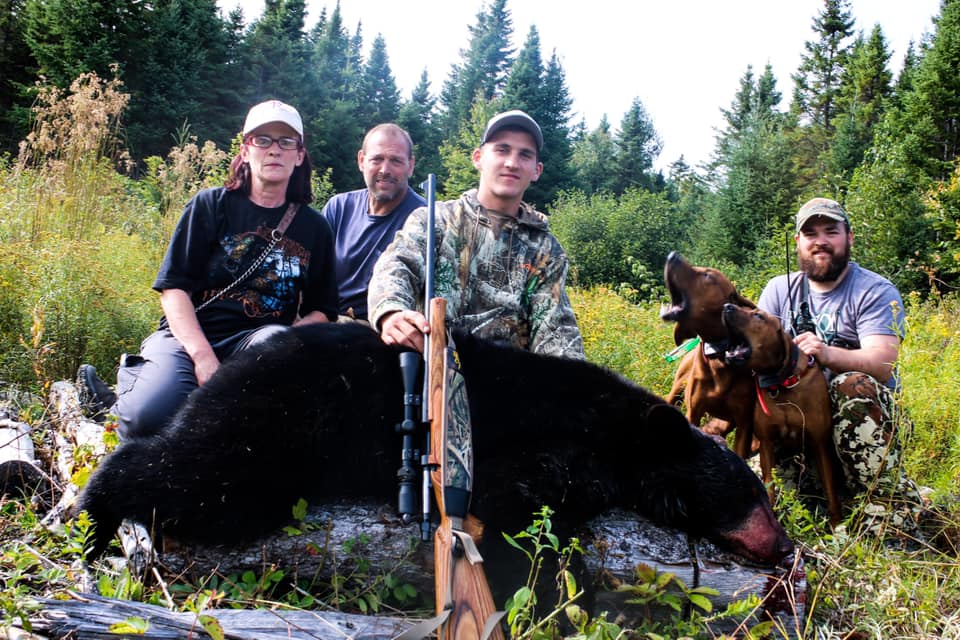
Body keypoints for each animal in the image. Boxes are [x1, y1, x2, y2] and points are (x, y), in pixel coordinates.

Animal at [660, 251, 756, 460]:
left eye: (707, 276)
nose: (672, 255)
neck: (719, 357)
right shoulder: (694, 412)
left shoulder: (744, 424)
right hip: (677, 390)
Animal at [724, 304, 844, 524]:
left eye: (758, 316)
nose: (726, 306)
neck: (782, 385)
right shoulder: (767, 443)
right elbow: (769, 484)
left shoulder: (820, 443)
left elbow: (830, 491)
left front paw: (837, 524)